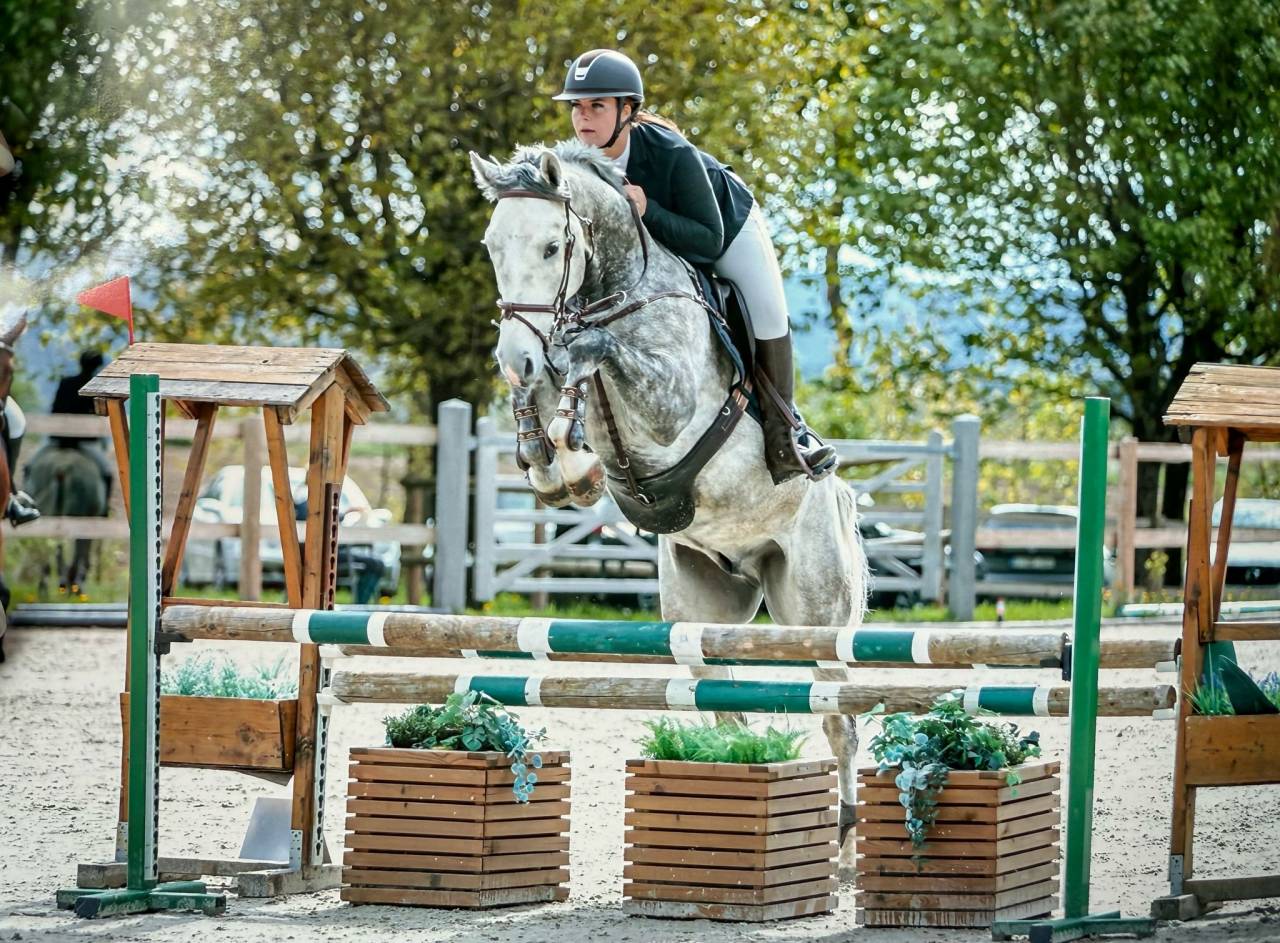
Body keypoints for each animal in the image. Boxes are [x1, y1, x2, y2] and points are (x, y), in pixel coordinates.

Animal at [471, 141, 869, 868]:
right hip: (701, 607)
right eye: (492, 246)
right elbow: (555, 391)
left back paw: (847, 846)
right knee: (725, 703)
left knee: (839, 718)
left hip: (816, 610)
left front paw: (568, 438)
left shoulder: (668, 403)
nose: (514, 356)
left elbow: (593, 354)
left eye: (552, 246)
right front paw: (553, 461)